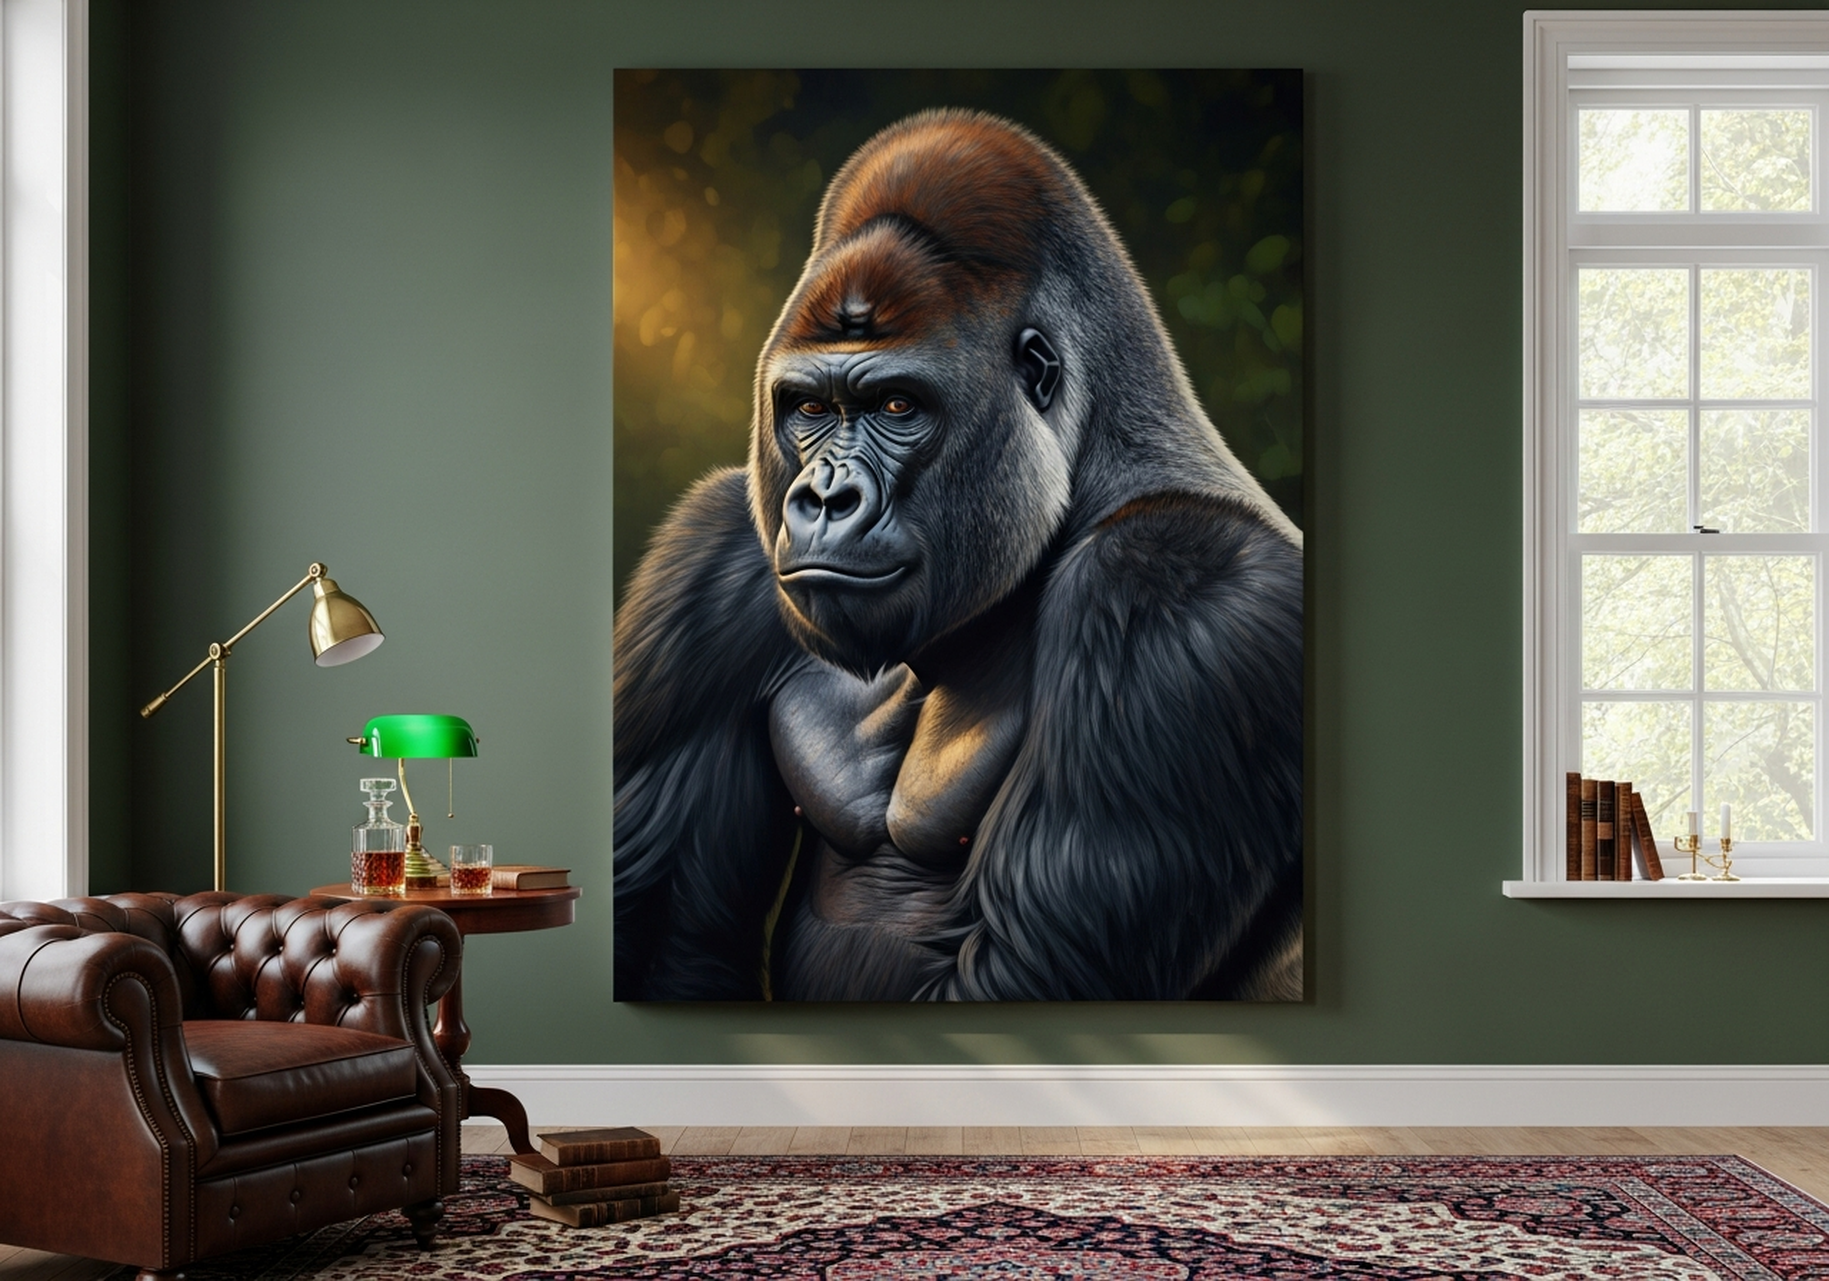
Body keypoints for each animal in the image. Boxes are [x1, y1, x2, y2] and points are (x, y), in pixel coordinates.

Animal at [613, 109, 1303, 1001]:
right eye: (808, 408)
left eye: (896, 406)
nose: (825, 498)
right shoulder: (712, 565)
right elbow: (660, 935)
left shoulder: (1177, 593)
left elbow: (1019, 965)